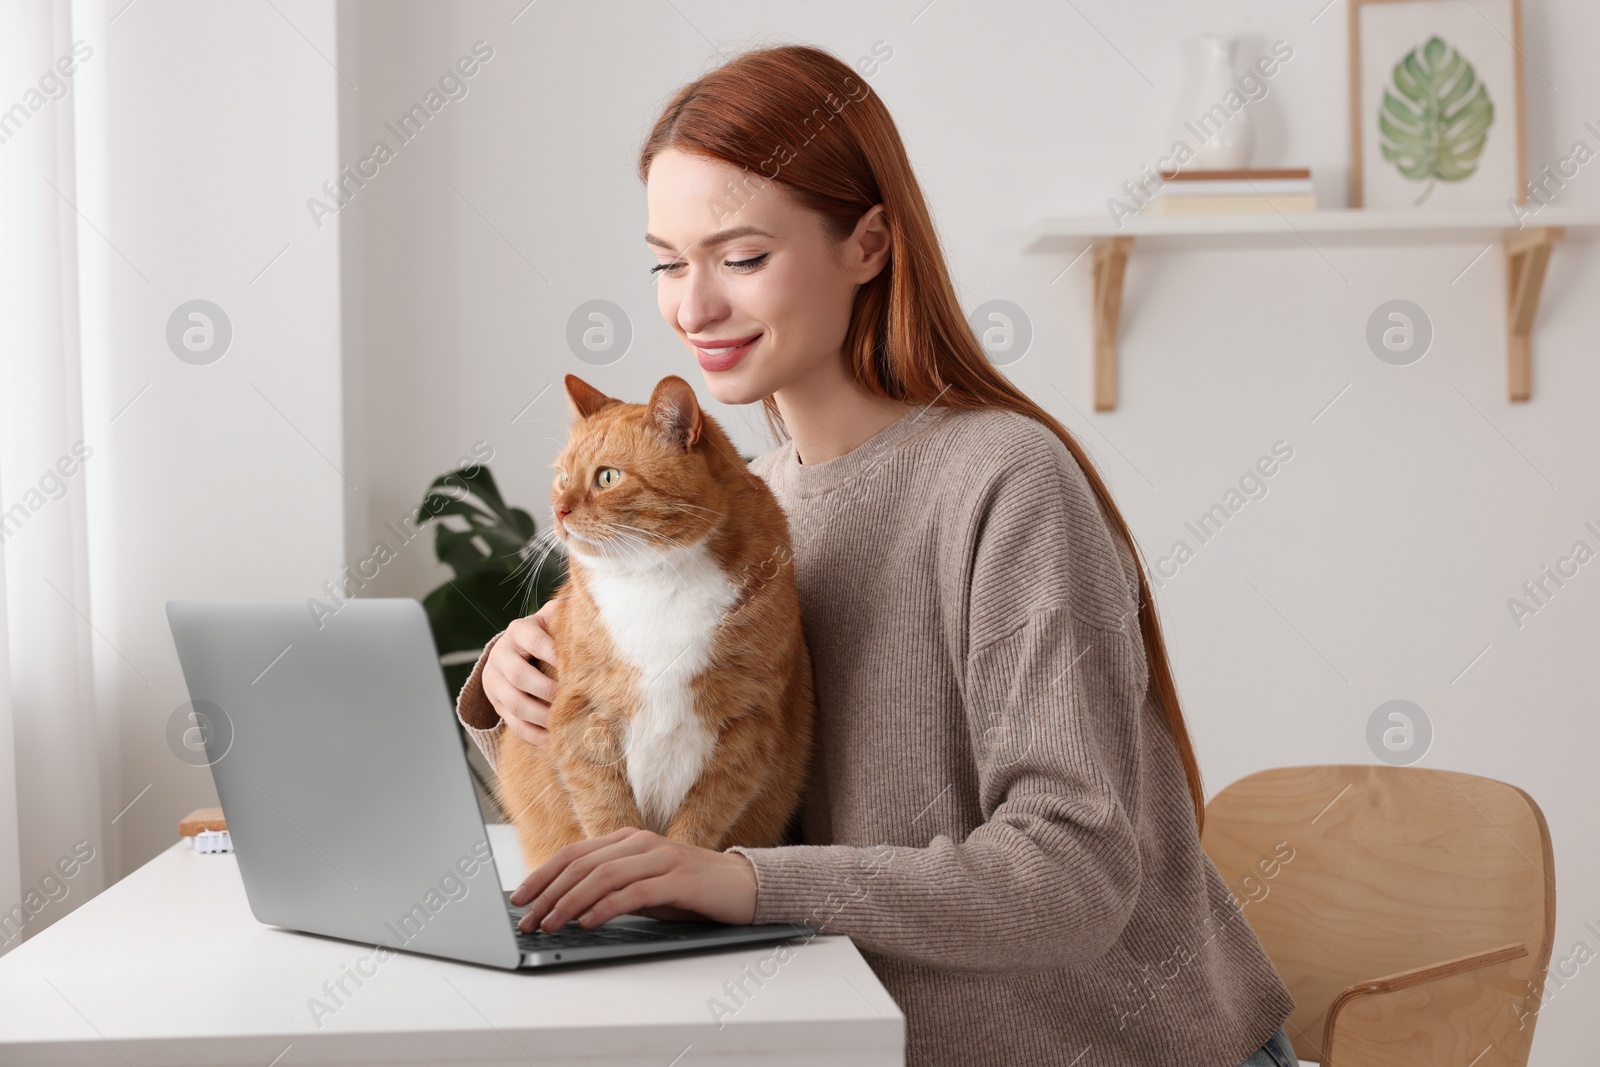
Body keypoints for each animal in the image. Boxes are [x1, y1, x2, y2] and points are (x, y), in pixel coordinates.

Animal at [492, 371, 819, 870]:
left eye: (607, 477)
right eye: (562, 478)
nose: (559, 512)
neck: (657, 580)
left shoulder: (749, 725)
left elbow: (698, 827)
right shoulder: (582, 716)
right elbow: (608, 816)